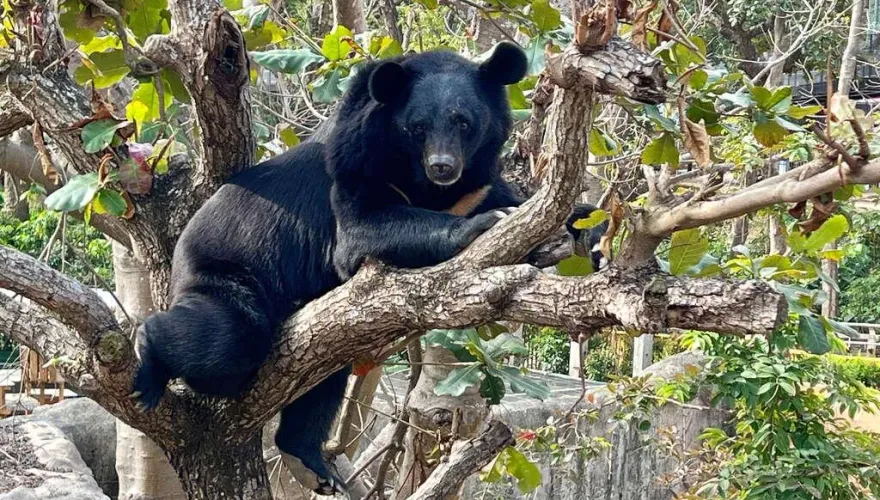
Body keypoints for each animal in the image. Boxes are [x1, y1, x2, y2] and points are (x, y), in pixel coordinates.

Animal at [133, 41, 607, 496]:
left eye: (464, 122)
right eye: (417, 127)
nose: (443, 166)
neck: (426, 185)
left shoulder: (476, 184)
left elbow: (524, 203)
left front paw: (592, 233)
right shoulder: (355, 166)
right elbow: (362, 231)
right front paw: (486, 224)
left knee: (319, 378)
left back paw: (310, 463)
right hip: (225, 274)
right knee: (227, 339)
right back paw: (147, 355)